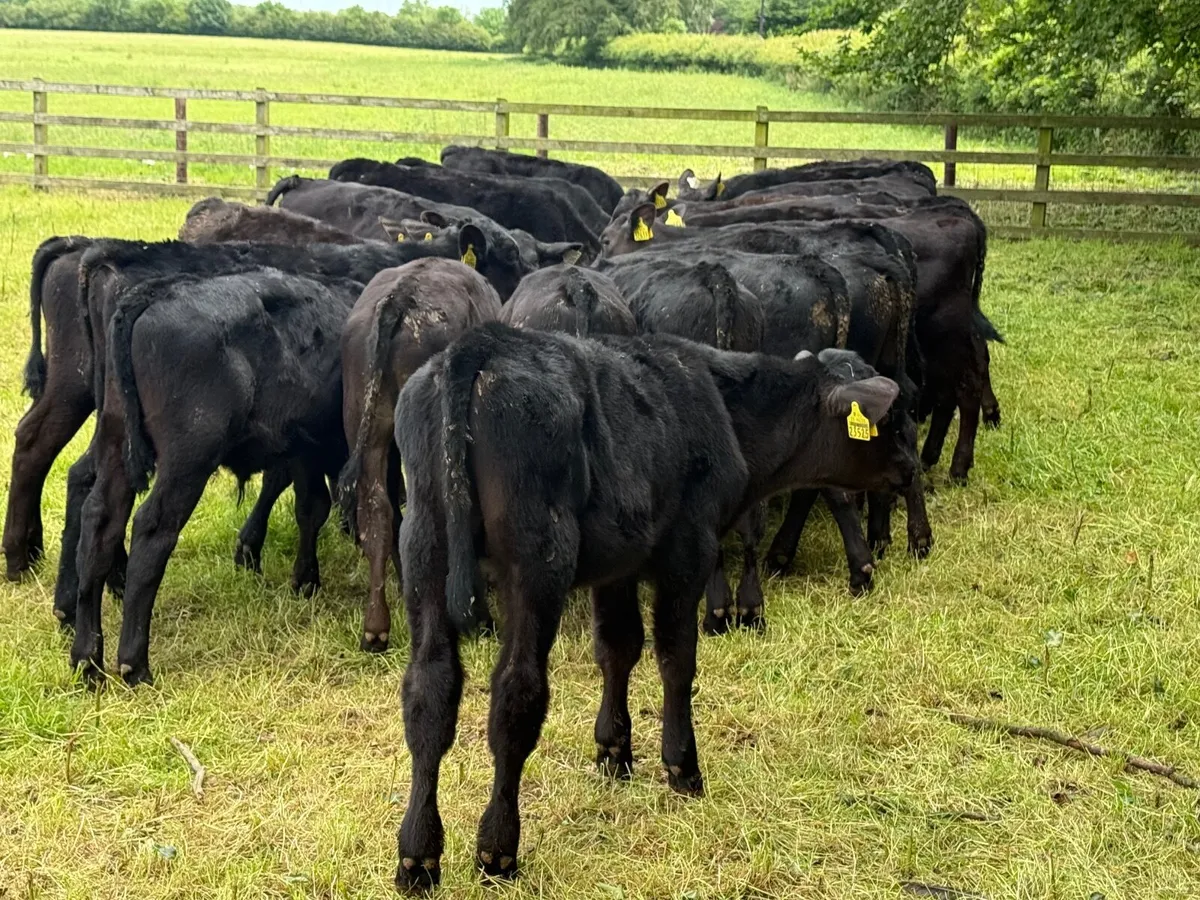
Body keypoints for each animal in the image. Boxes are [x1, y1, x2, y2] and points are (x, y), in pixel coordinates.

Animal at [69, 268, 363, 686]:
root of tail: (157, 292)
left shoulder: (305, 445)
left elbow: (311, 508)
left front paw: (306, 581)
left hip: (116, 441)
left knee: (100, 523)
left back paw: (87, 660)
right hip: (188, 457)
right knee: (151, 530)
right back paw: (134, 664)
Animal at [391, 322, 916, 890]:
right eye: (891, 422)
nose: (911, 470)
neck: (724, 408)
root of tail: (483, 342)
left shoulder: (618, 564)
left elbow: (617, 649)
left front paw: (613, 752)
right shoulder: (689, 547)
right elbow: (675, 658)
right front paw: (682, 765)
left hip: (423, 544)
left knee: (429, 692)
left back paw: (418, 855)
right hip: (538, 559)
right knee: (516, 692)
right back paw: (498, 847)